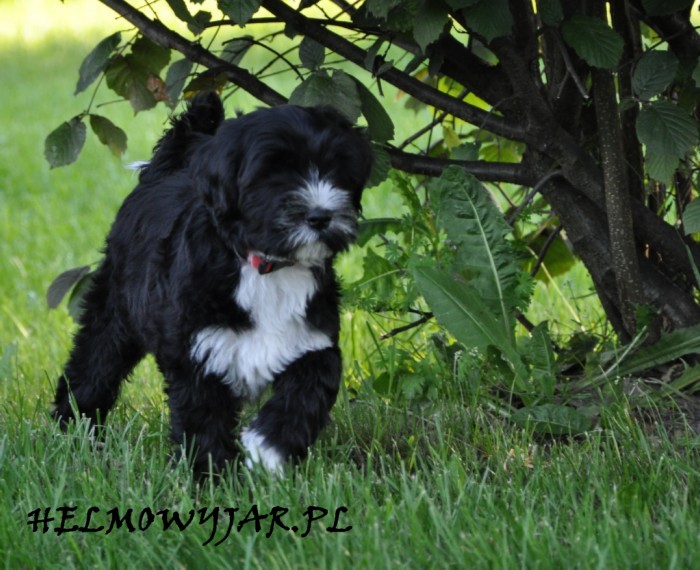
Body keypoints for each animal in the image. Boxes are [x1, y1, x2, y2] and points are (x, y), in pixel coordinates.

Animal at [53, 92, 373, 476]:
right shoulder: (197, 351)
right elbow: (202, 417)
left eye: (335, 167)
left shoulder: (312, 342)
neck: (267, 267)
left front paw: (267, 450)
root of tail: (162, 174)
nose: (320, 216)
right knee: (94, 363)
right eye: (273, 173)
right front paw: (209, 474)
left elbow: (309, 392)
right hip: (114, 311)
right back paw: (73, 427)